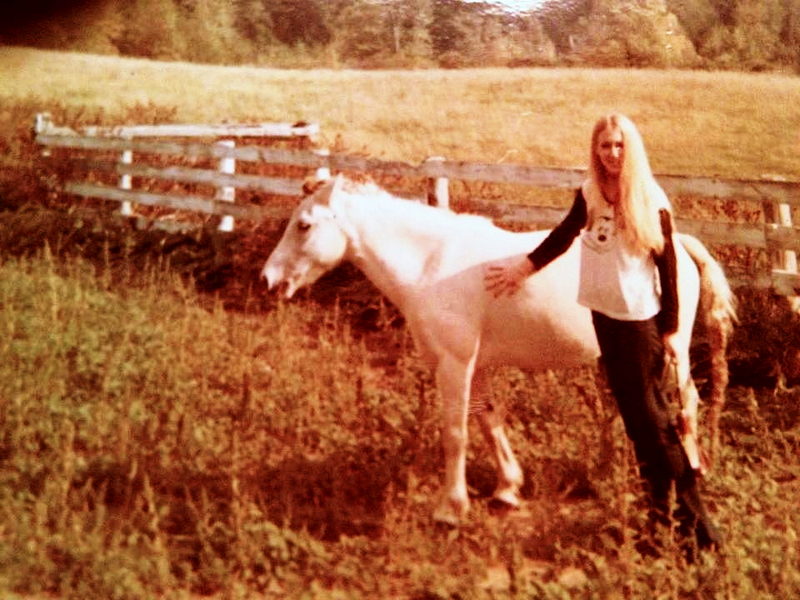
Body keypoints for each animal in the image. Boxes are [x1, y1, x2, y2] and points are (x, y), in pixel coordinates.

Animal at [262, 175, 736, 524]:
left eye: (304, 224)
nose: (270, 279)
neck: (432, 264)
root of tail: (679, 244)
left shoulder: (453, 365)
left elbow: (456, 432)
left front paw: (450, 510)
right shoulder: (478, 367)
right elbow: (488, 421)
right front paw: (508, 489)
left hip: (672, 355)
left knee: (687, 404)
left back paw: (695, 469)